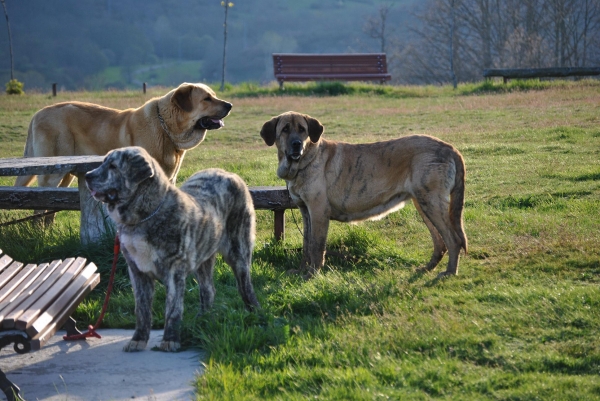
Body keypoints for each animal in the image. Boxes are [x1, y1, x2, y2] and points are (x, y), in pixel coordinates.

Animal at [15, 83, 232, 189]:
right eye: (207, 99)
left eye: (213, 95)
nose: (230, 105)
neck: (165, 127)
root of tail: (37, 114)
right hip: (52, 173)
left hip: (66, 172)